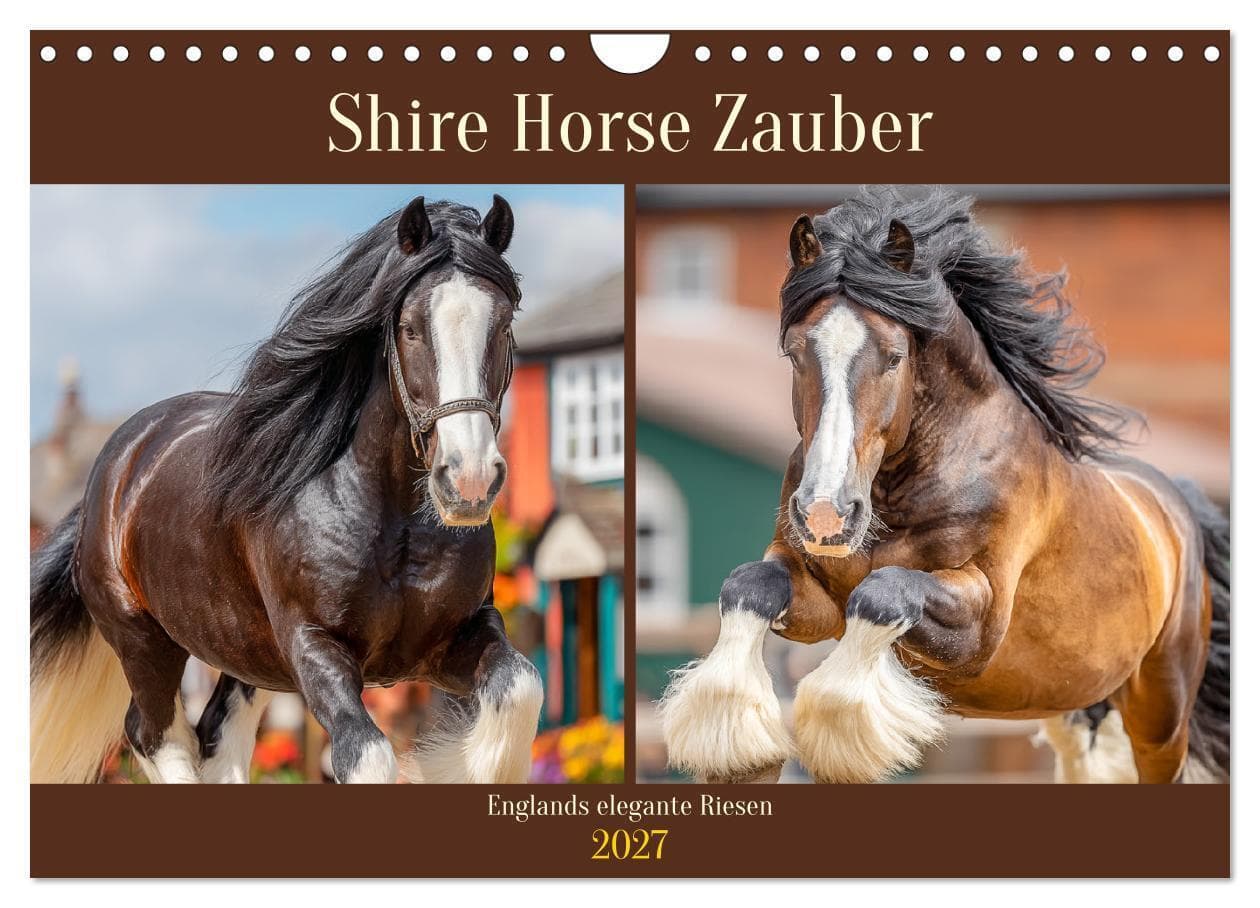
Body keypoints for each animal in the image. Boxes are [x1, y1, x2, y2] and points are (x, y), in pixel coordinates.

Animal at [31, 195, 545, 784]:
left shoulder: (453, 639)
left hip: (245, 656)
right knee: (154, 735)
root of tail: (116, 467)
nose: (469, 481)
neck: (390, 521)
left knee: (216, 738)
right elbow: (367, 757)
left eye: (502, 325)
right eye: (411, 328)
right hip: (145, 643)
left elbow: (521, 689)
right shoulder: (316, 648)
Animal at [660, 188, 1230, 785]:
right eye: (795, 353)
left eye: (895, 357)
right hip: (1073, 707)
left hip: (1160, 715)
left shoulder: (979, 625)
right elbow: (749, 584)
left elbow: (883, 593)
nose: (824, 515)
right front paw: (737, 746)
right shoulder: (817, 601)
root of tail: (1176, 509)